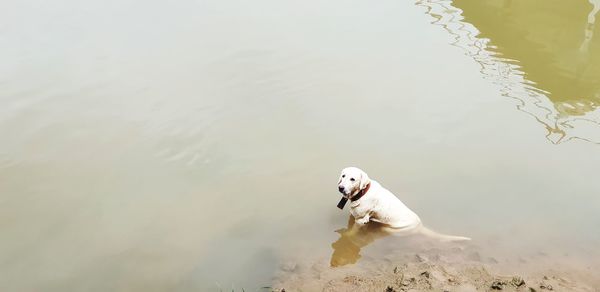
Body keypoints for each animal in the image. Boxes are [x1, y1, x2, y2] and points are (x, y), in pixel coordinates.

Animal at [338, 167, 468, 242]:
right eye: (343, 176)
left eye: (352, 179)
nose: (341, 187)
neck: (362, 192)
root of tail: (420, 226)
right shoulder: (354, 216)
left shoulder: (360, 220)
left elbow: (352, 232)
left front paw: (347, 236)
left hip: (390, 229)